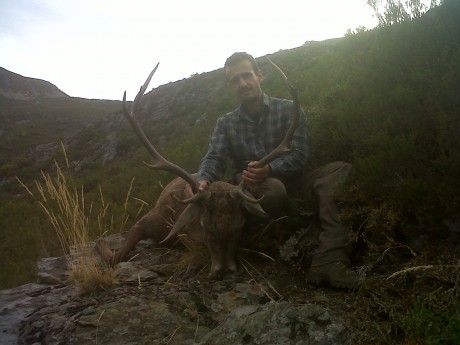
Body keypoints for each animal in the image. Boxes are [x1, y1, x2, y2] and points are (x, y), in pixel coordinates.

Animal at [95, 58, 300, 280]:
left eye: (240, 228)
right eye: (206, 228)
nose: (224, 269)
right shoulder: (149, 220)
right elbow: (116, 255)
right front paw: (101, 241)